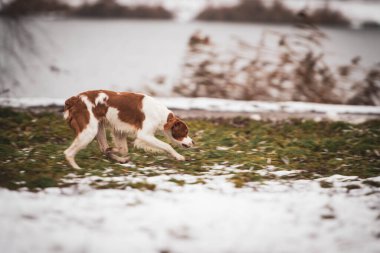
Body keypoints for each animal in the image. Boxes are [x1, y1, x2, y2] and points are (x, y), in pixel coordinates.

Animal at [63, 90, 193, 169]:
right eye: (185, 132)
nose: (193, 142)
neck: (161, 115)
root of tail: (75, 99)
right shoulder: (144, 134)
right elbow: (167, 146)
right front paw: (179, 156)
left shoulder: (119, 131)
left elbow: (123, 149)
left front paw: (113, 149)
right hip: (88, 131)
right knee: (68, 153)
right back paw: (77, 169)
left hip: (99, 128)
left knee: (104, 148)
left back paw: (121, 159)